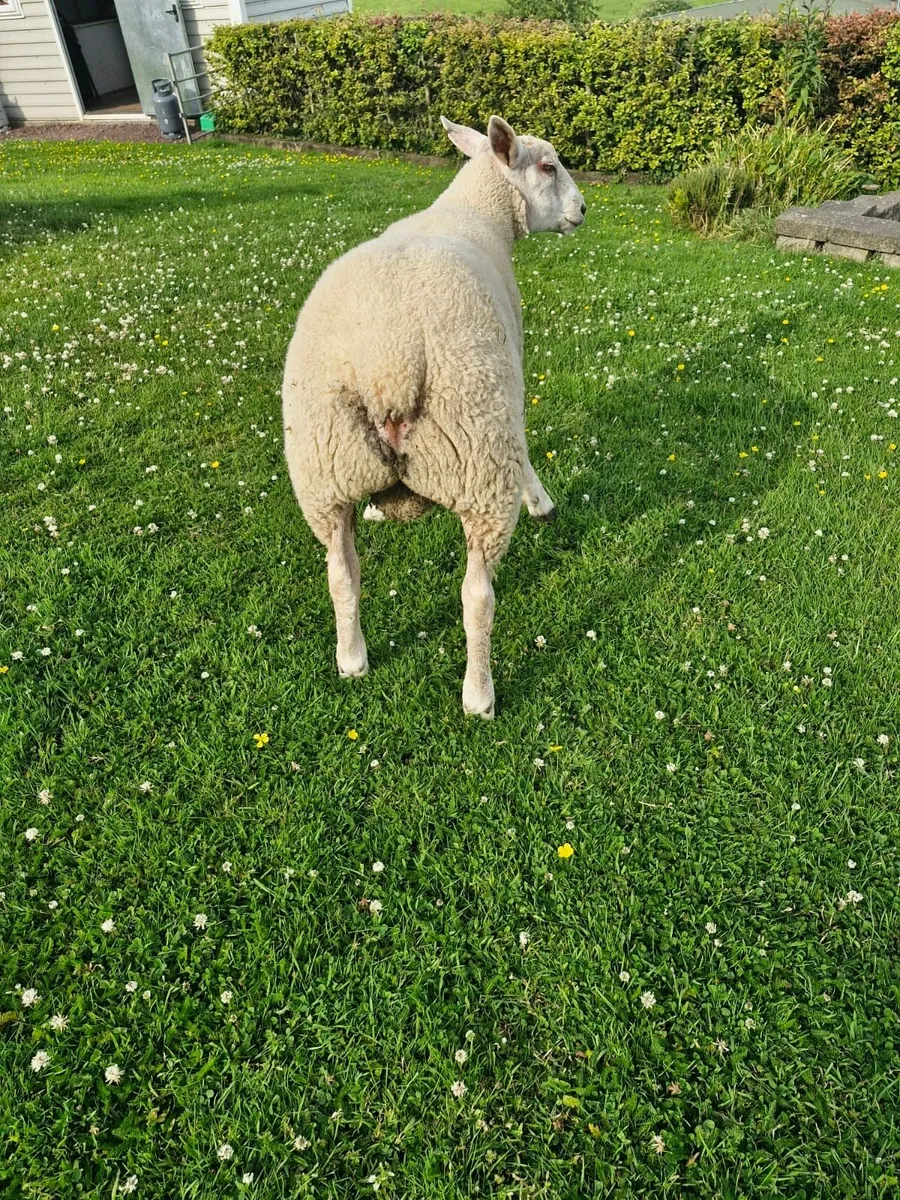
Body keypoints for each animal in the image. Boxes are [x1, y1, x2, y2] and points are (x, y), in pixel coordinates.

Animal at [282, 115, 586, 718]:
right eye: (547, 166)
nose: (583, 209)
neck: (476, 216)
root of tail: (390, 364)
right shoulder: (512, 377)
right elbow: (527, 444)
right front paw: (540, 501)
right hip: (480, 456)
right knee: (477, 596)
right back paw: (479, 694)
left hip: (324, 470)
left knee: (341, 576)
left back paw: (352, 660)